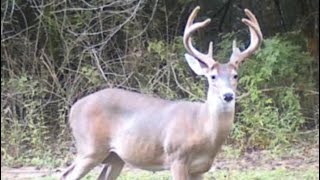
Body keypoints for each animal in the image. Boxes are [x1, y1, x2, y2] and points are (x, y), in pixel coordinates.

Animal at [60, 5, 262, 180]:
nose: (228, 96)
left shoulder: (201, 168)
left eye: (235, 75)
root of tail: (74, 108)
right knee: (66, 174)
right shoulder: (176, 157)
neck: (203, 127)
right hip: (90, 147)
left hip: (115, 157)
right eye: (212, 76)